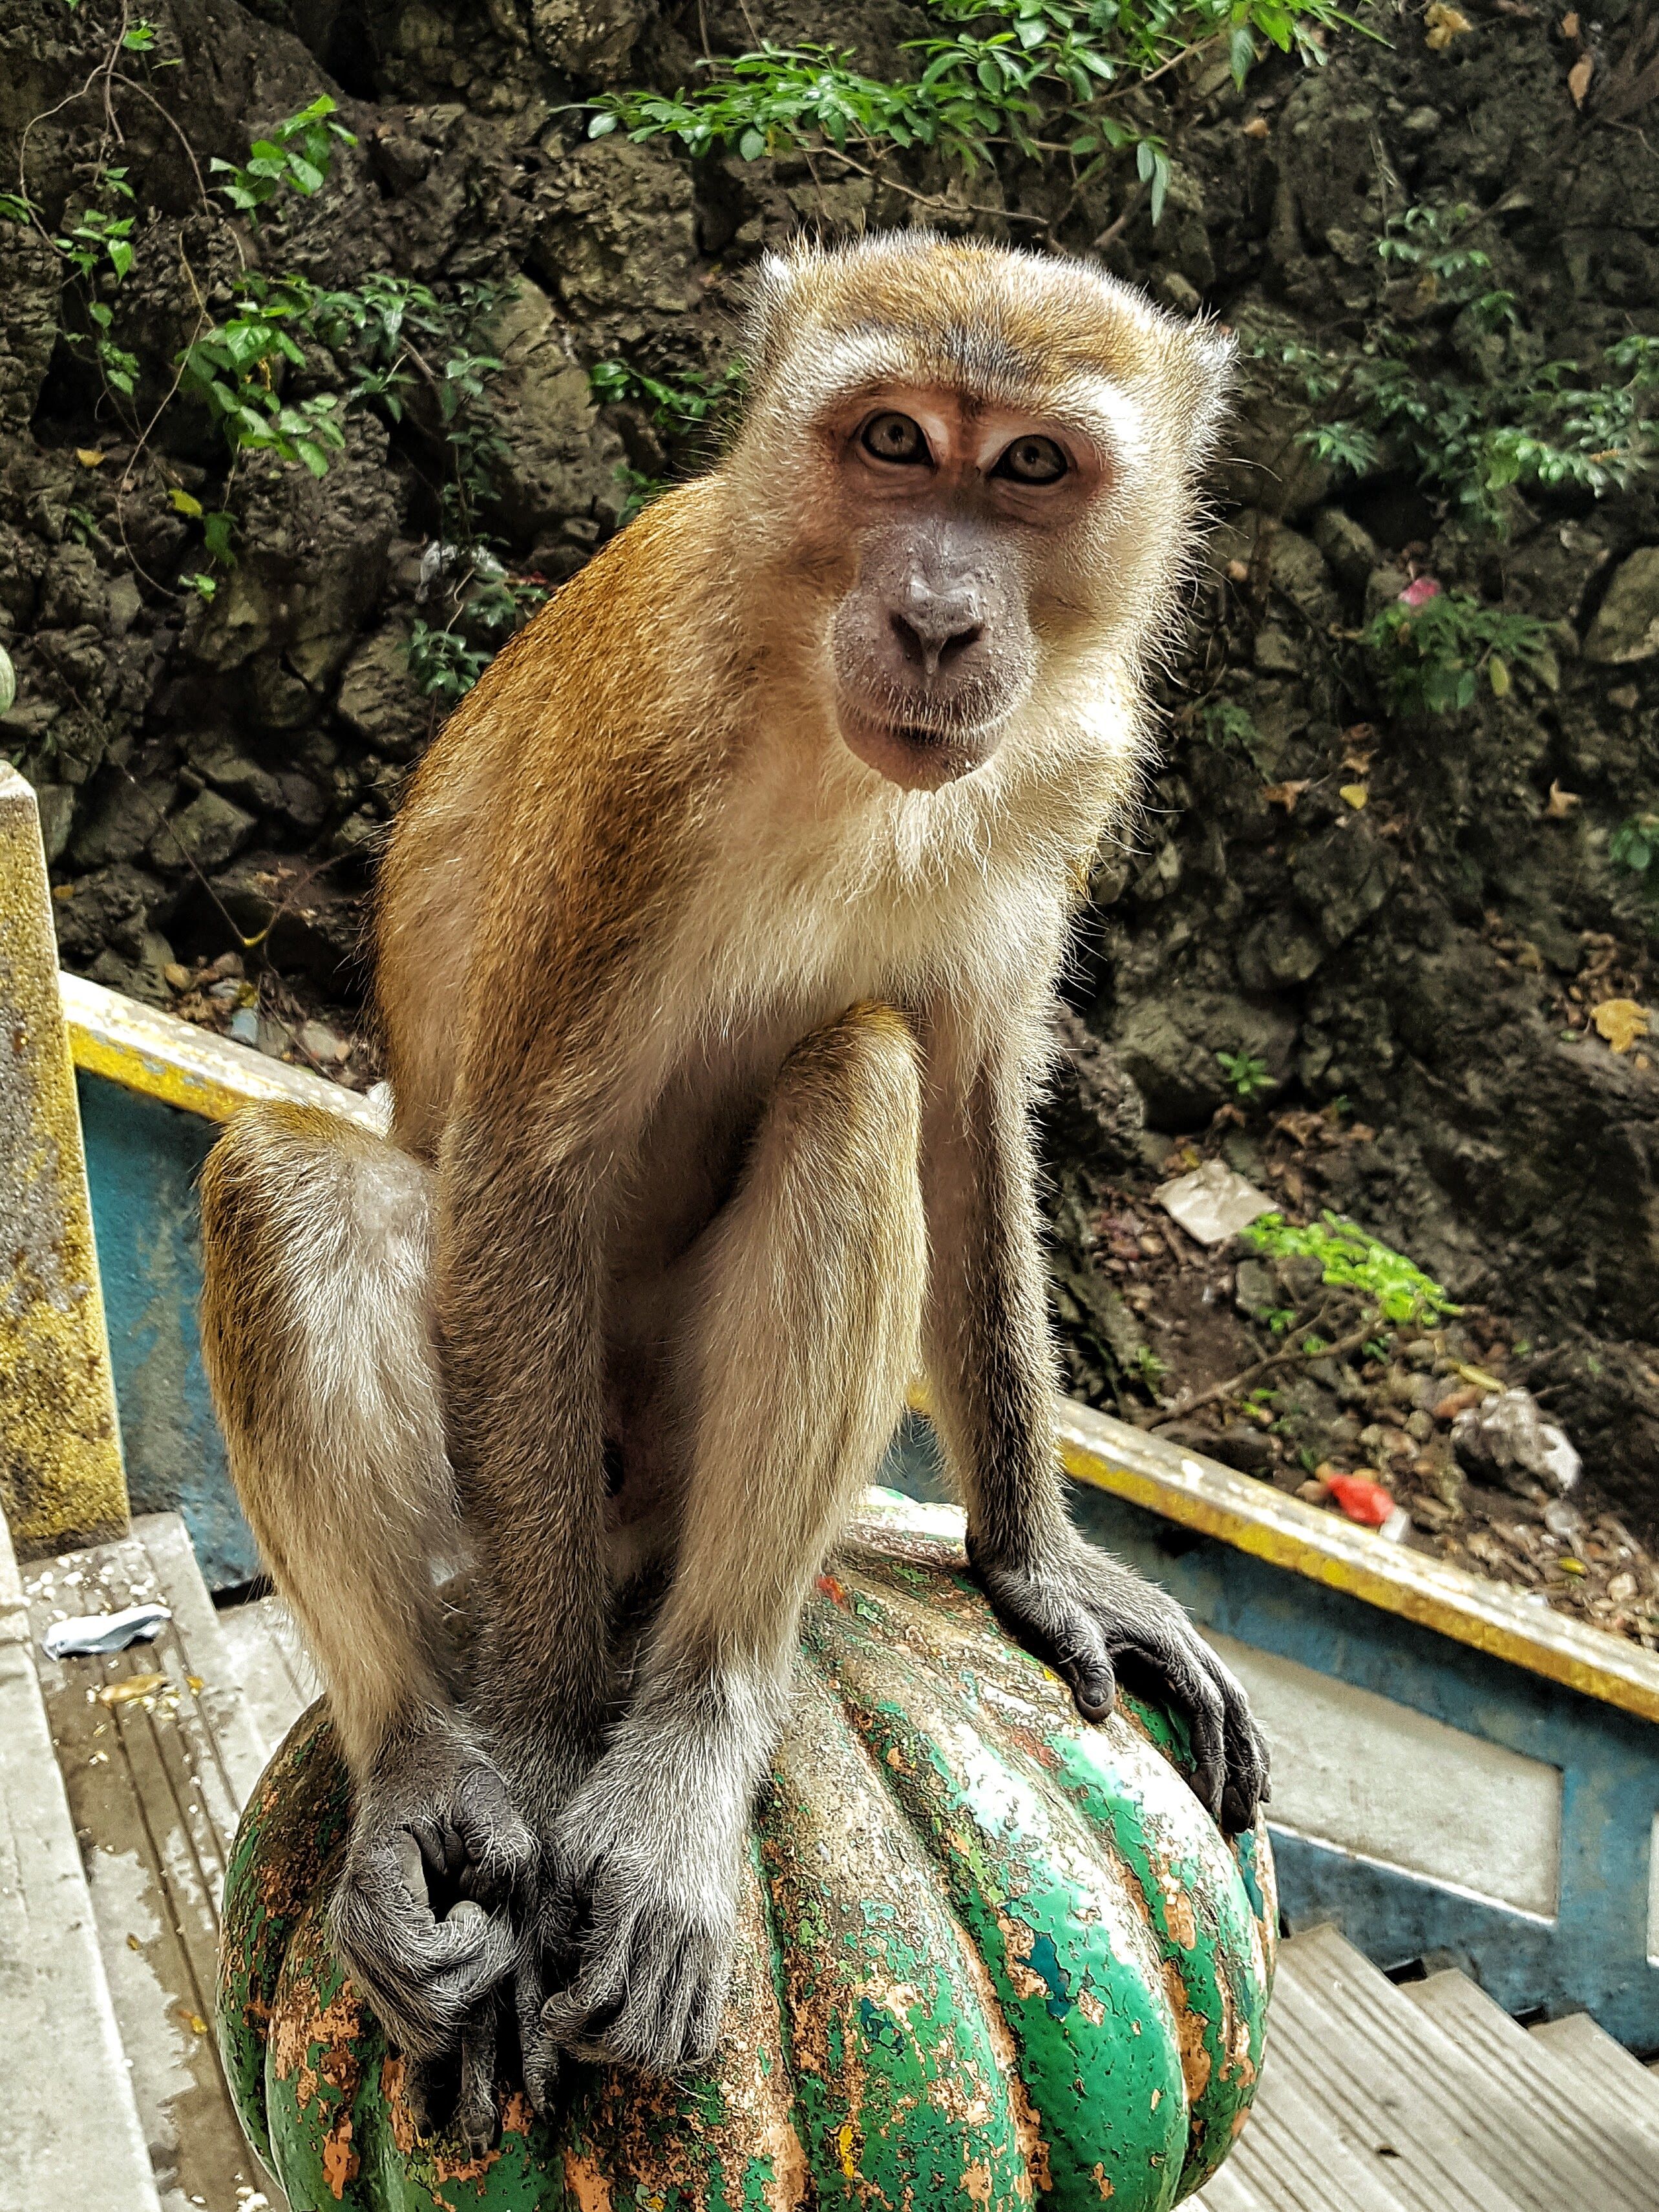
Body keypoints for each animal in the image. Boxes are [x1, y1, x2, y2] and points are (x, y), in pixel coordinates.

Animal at [204, 229, 1274, 2141]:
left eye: (1029, 467)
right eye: (891, 441)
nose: (936, 616)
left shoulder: (1063, 769)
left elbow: (963, 1110)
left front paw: (1040, 1561)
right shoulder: (642, 757)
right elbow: (526, 1163)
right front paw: (537, 1740)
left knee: (859, 1074)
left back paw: (696, 1723)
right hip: (546, 1452)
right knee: (287, 1179)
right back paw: (423, 1765)